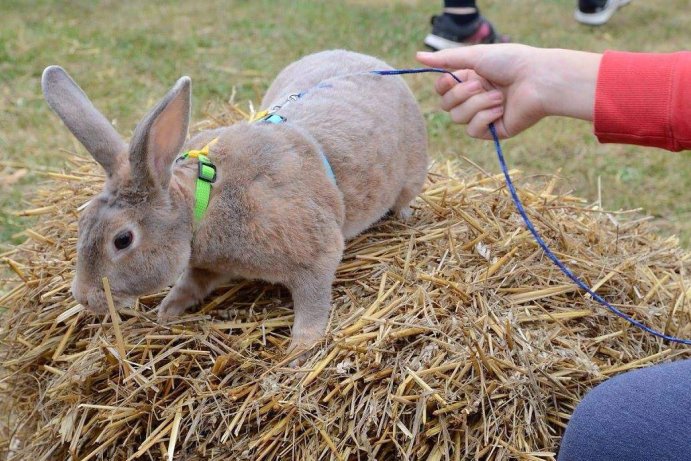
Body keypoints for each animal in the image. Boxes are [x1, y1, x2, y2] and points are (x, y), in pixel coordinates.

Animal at [42, 49, 428, 352]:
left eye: (122, 240)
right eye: (82, 222)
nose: (82, 296)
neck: (202, 203)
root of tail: (372, 62)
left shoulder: (315, 256)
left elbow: (313, 301)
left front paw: (300, 349)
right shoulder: (207, 266)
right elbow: (191, 283)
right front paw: (167, 310)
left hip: (411, 175)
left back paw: (404, 216)